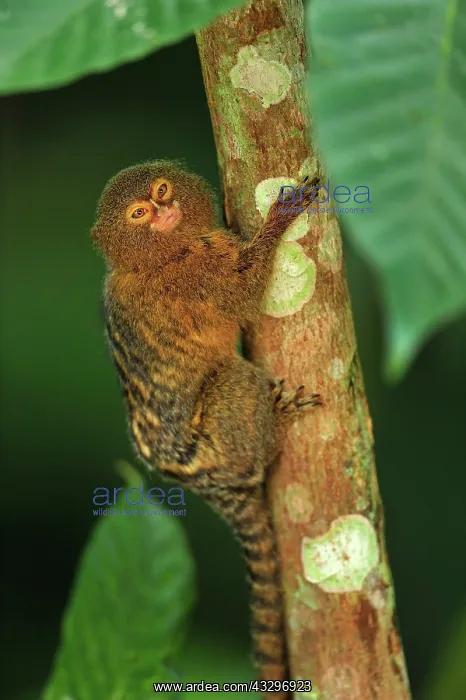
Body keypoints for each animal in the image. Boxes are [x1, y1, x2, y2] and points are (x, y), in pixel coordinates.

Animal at [91, 160, 321, 697]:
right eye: (139, 214)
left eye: (161, 190)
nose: (163, 211)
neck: (161, 255)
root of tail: (202, 483)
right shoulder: (192, 280)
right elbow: (242, 293)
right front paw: (281, 219)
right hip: (220, 446)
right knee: (232, 382)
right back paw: (277, 425)